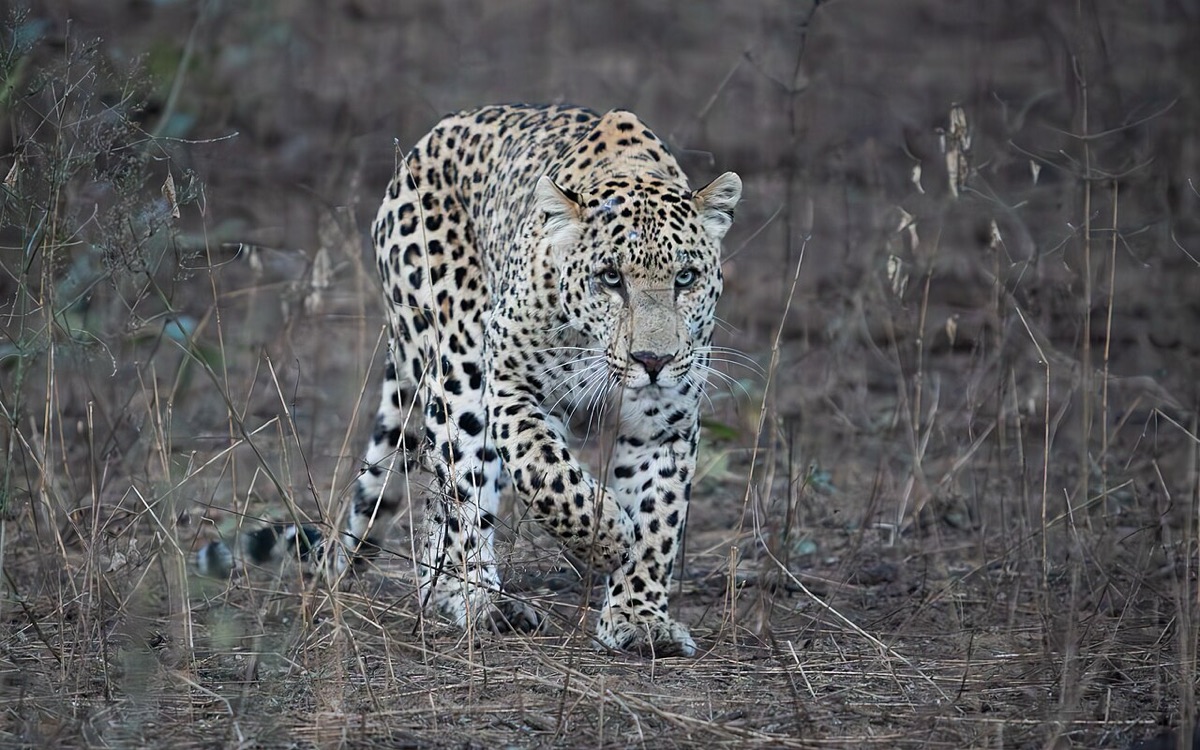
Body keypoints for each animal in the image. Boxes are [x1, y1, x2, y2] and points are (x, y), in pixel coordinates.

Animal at [196, 103, 741, 657]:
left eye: (685, 278)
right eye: (611, 278)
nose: (653, 359)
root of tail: (422, 145)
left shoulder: (667, 421)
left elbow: (657, 514)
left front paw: (639, 618)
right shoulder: (509, 384)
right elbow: (548, 476)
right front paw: (606, 537)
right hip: (457, 368)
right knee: (458, 495)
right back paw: (475, 598)